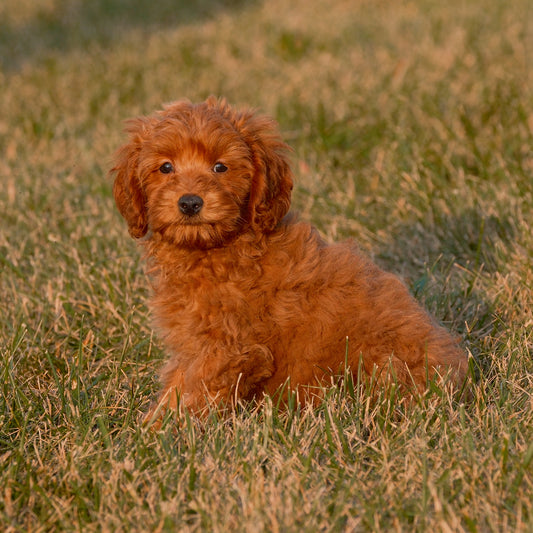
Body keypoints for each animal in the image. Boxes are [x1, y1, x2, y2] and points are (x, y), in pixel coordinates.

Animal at [112, 97, 466, 418]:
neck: (213, 248)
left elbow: (192, 394)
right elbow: (178, 386)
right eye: (166, 167)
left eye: (220, 167)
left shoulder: (229, 347)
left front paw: (160, 432)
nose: (189, 203)